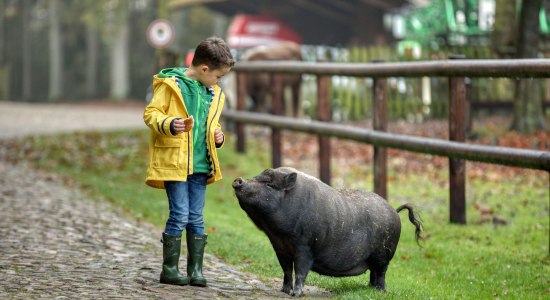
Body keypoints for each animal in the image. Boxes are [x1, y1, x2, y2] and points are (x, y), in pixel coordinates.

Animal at [231, 168, 424, 296]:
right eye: (256, 177)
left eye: (270, 184)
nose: (238, 180)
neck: (279, 235)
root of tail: (394, 211)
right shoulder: (280, 248)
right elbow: (286, 270)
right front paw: (284, 291)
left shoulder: (305, 247)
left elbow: (300, 271)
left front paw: (295, 294)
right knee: (374, 272)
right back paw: (369, 288)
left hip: (384, 253)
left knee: (382, 272)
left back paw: (380, 292)